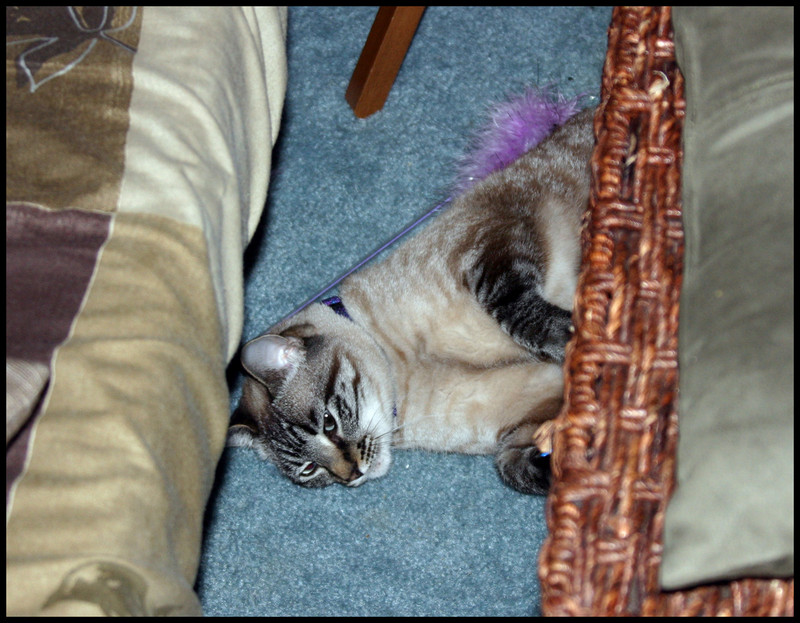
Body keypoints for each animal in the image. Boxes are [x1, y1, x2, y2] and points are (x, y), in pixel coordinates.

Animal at [227, 103, 592, 498]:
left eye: (328, 423)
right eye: (310, 470)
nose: (352, 475)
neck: (401, 378)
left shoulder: (489, 246)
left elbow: (523, 316)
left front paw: (575, 336)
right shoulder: (522, 425)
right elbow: (517, 468)